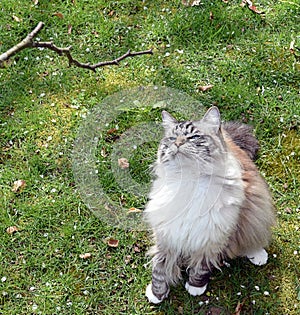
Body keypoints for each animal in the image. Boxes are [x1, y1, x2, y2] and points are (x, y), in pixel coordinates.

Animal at [144, 106, 276, 304]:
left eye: (193, 137)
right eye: (172, 138)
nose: (178, 144)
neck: (190, 181)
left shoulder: (211, 236)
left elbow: (201, 268)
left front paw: (195, 287)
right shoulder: (166, 234)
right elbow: (159, 271)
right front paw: (156, 294)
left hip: (253, 212)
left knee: (253, 237)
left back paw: (258, 255)